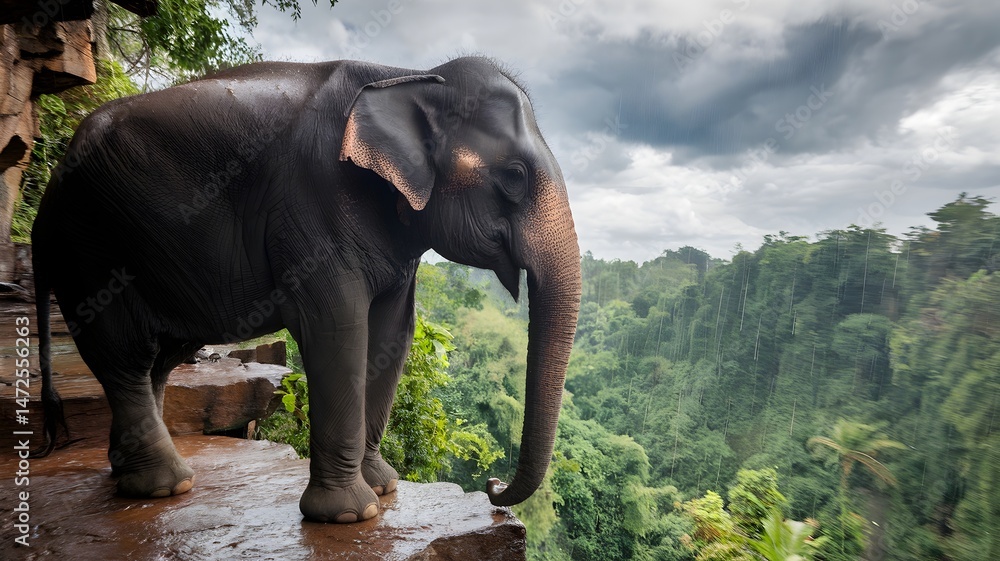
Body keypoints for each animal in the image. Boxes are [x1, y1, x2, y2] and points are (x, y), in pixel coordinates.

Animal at [31, 56, 582, 523]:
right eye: (514, 176)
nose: (492, 487)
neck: (409, 77)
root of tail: (48, 190)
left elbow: (391, 336)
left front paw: (383, 486)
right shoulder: (311, 204)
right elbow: (339, 327)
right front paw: (352, 514)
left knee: (158, 361)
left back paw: (135, 475)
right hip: (91, 244)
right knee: (125, 353)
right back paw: (166, 486)